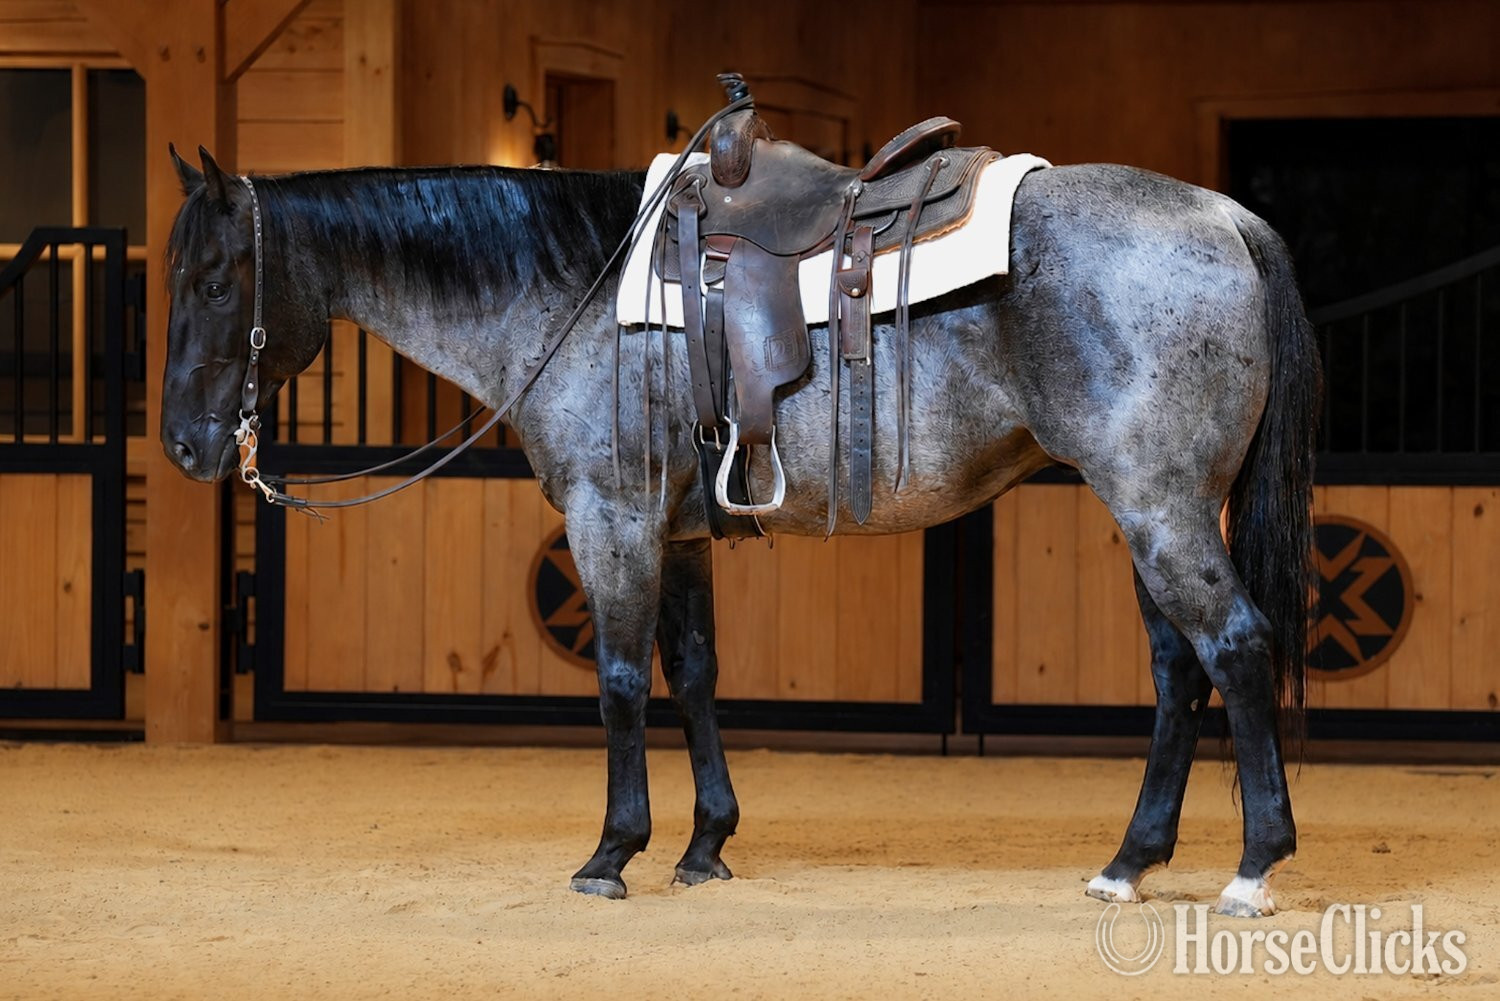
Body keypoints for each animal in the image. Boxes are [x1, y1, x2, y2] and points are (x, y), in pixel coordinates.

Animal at [161, 139, 1319, 917]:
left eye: (215, 281)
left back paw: (1254, 864)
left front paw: (612, 852)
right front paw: (704, 844)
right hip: (1143, 510)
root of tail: (1226, 216)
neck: (576, 293)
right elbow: (695, 673)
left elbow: (621, 682)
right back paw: (1129, 861)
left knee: (1235, 647)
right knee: (1178, 668)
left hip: (1160, 503)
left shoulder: (614, 517)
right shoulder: (677, 534)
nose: (181, 443)